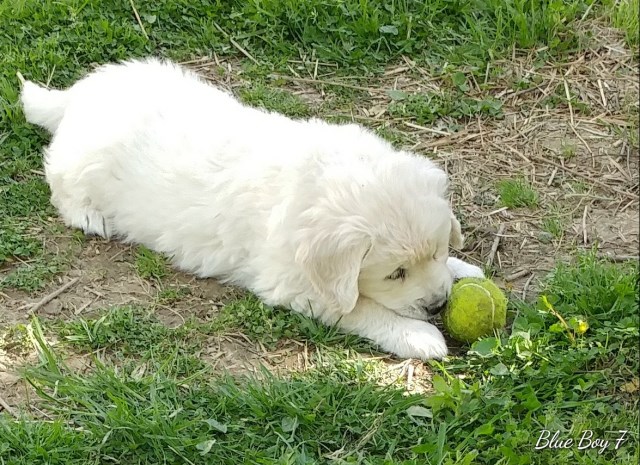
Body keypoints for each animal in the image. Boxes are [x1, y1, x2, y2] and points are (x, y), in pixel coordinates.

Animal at [20, 59, 482, 358]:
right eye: (395, 274)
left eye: (437, 252)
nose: (438, 305)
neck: (323, 182)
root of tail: (79, 96)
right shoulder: (296, 284)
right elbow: (359, 308)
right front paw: (418, 335)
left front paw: (463, 270)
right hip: (81, 166)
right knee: (56, 176)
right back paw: (88, 215)